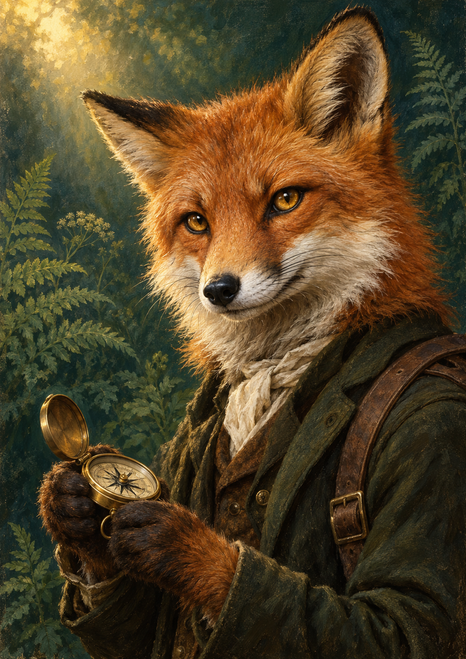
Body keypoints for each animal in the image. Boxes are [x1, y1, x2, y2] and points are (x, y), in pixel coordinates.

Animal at [38, 7, 465, 659]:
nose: (219, 289)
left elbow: (402, 621)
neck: (272, 365)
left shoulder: (435, 433)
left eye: (285, 199)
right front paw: (75, 518)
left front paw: (184, 546)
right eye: (197, 222)